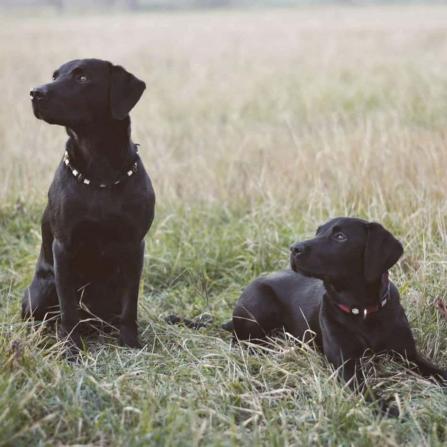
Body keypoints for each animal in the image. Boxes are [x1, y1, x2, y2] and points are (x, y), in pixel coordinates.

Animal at [22, 59, 156, 354]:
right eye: (54, 76)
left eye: (82, 77)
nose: (35, 93)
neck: (100, 173)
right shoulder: (63, 247)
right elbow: (69, 308)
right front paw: (70, 348)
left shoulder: (134, 246)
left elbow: (130, 306)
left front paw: (130, 342)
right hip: (39, 293)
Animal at [226, 219, 446, 390]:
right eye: (318, 232)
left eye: (340, 236)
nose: (294, 248)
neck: (362, 311)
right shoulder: (345, 366)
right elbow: (369, 393)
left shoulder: (408, 355)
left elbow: (437, 371)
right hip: (260, 303)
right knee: (240, 340)